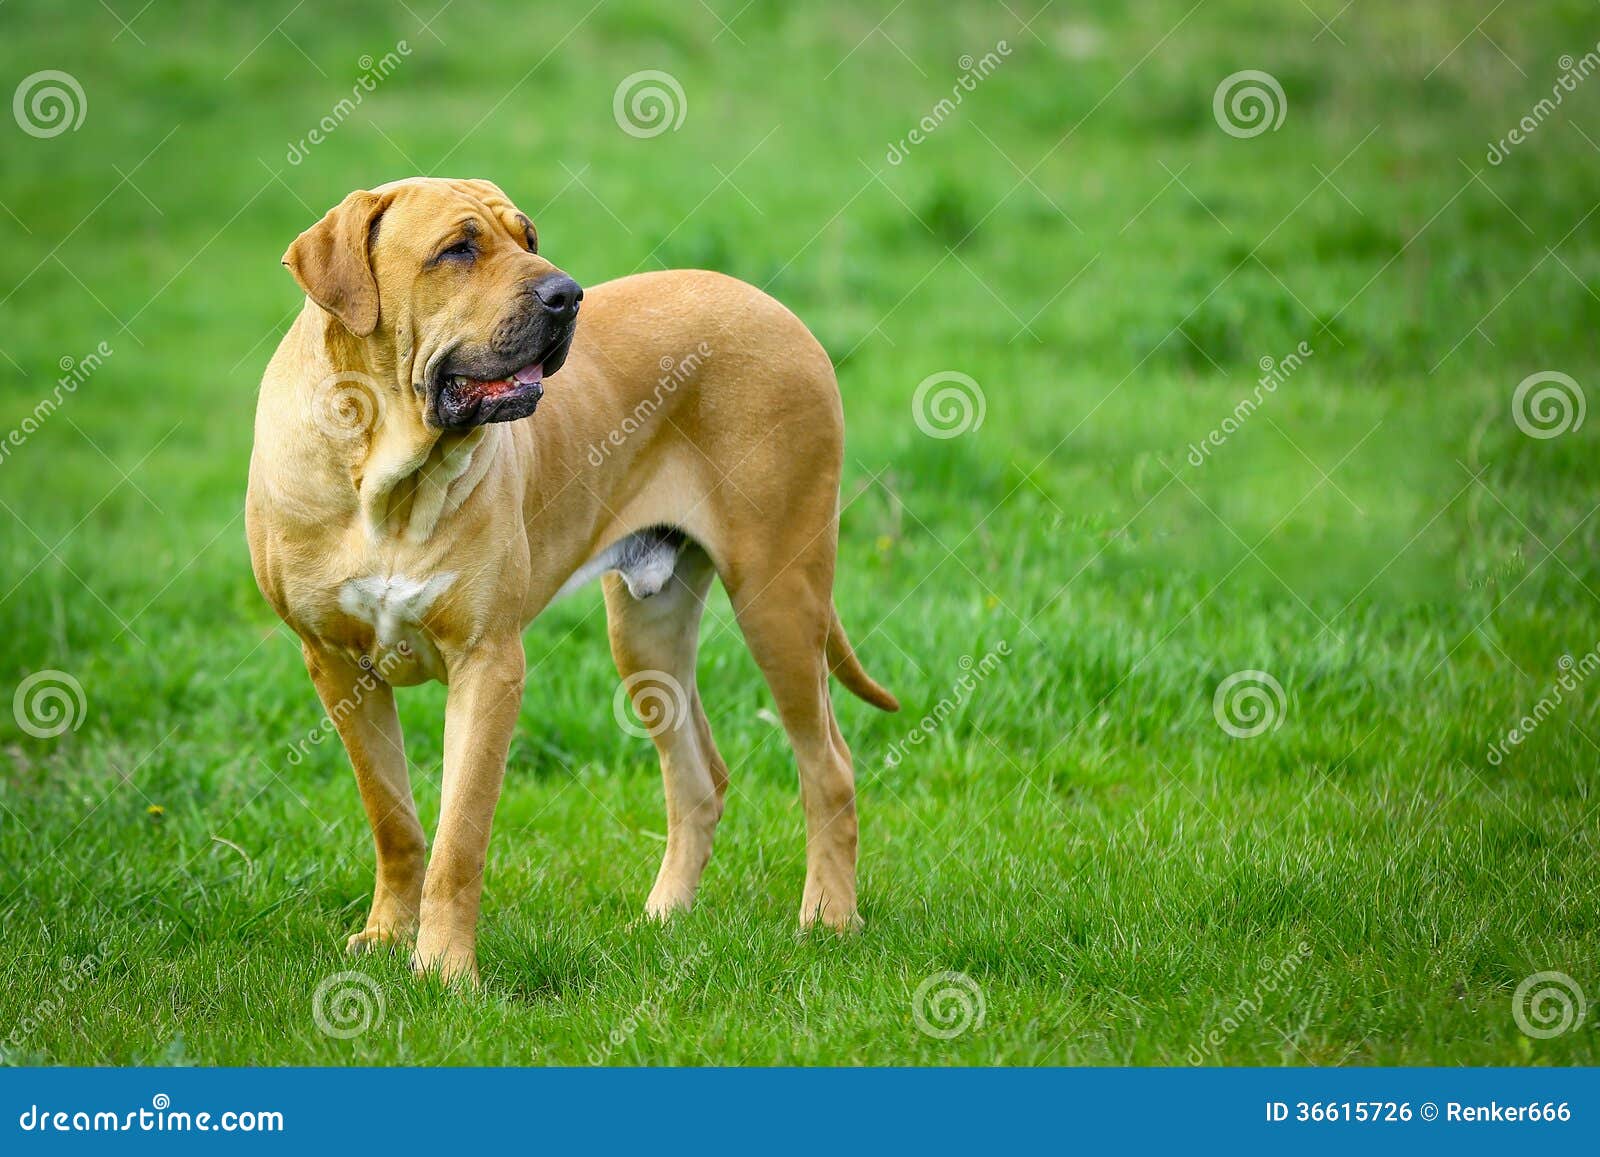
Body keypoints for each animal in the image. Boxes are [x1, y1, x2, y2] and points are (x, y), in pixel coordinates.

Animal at [249, 176, 902, 979]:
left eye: (527, 238)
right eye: (457, 249)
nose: (567, 294)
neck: (386, 476)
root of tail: (775, 308)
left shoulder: (489, 664)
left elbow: (459, 838)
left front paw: (444, 970)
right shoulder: (338, 665)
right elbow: (393, 818)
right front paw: (385, 939)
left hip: (778, 595)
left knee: (829, 766)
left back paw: (830, 918)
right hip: (647, 630)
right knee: (699, 778)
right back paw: (663, 917)